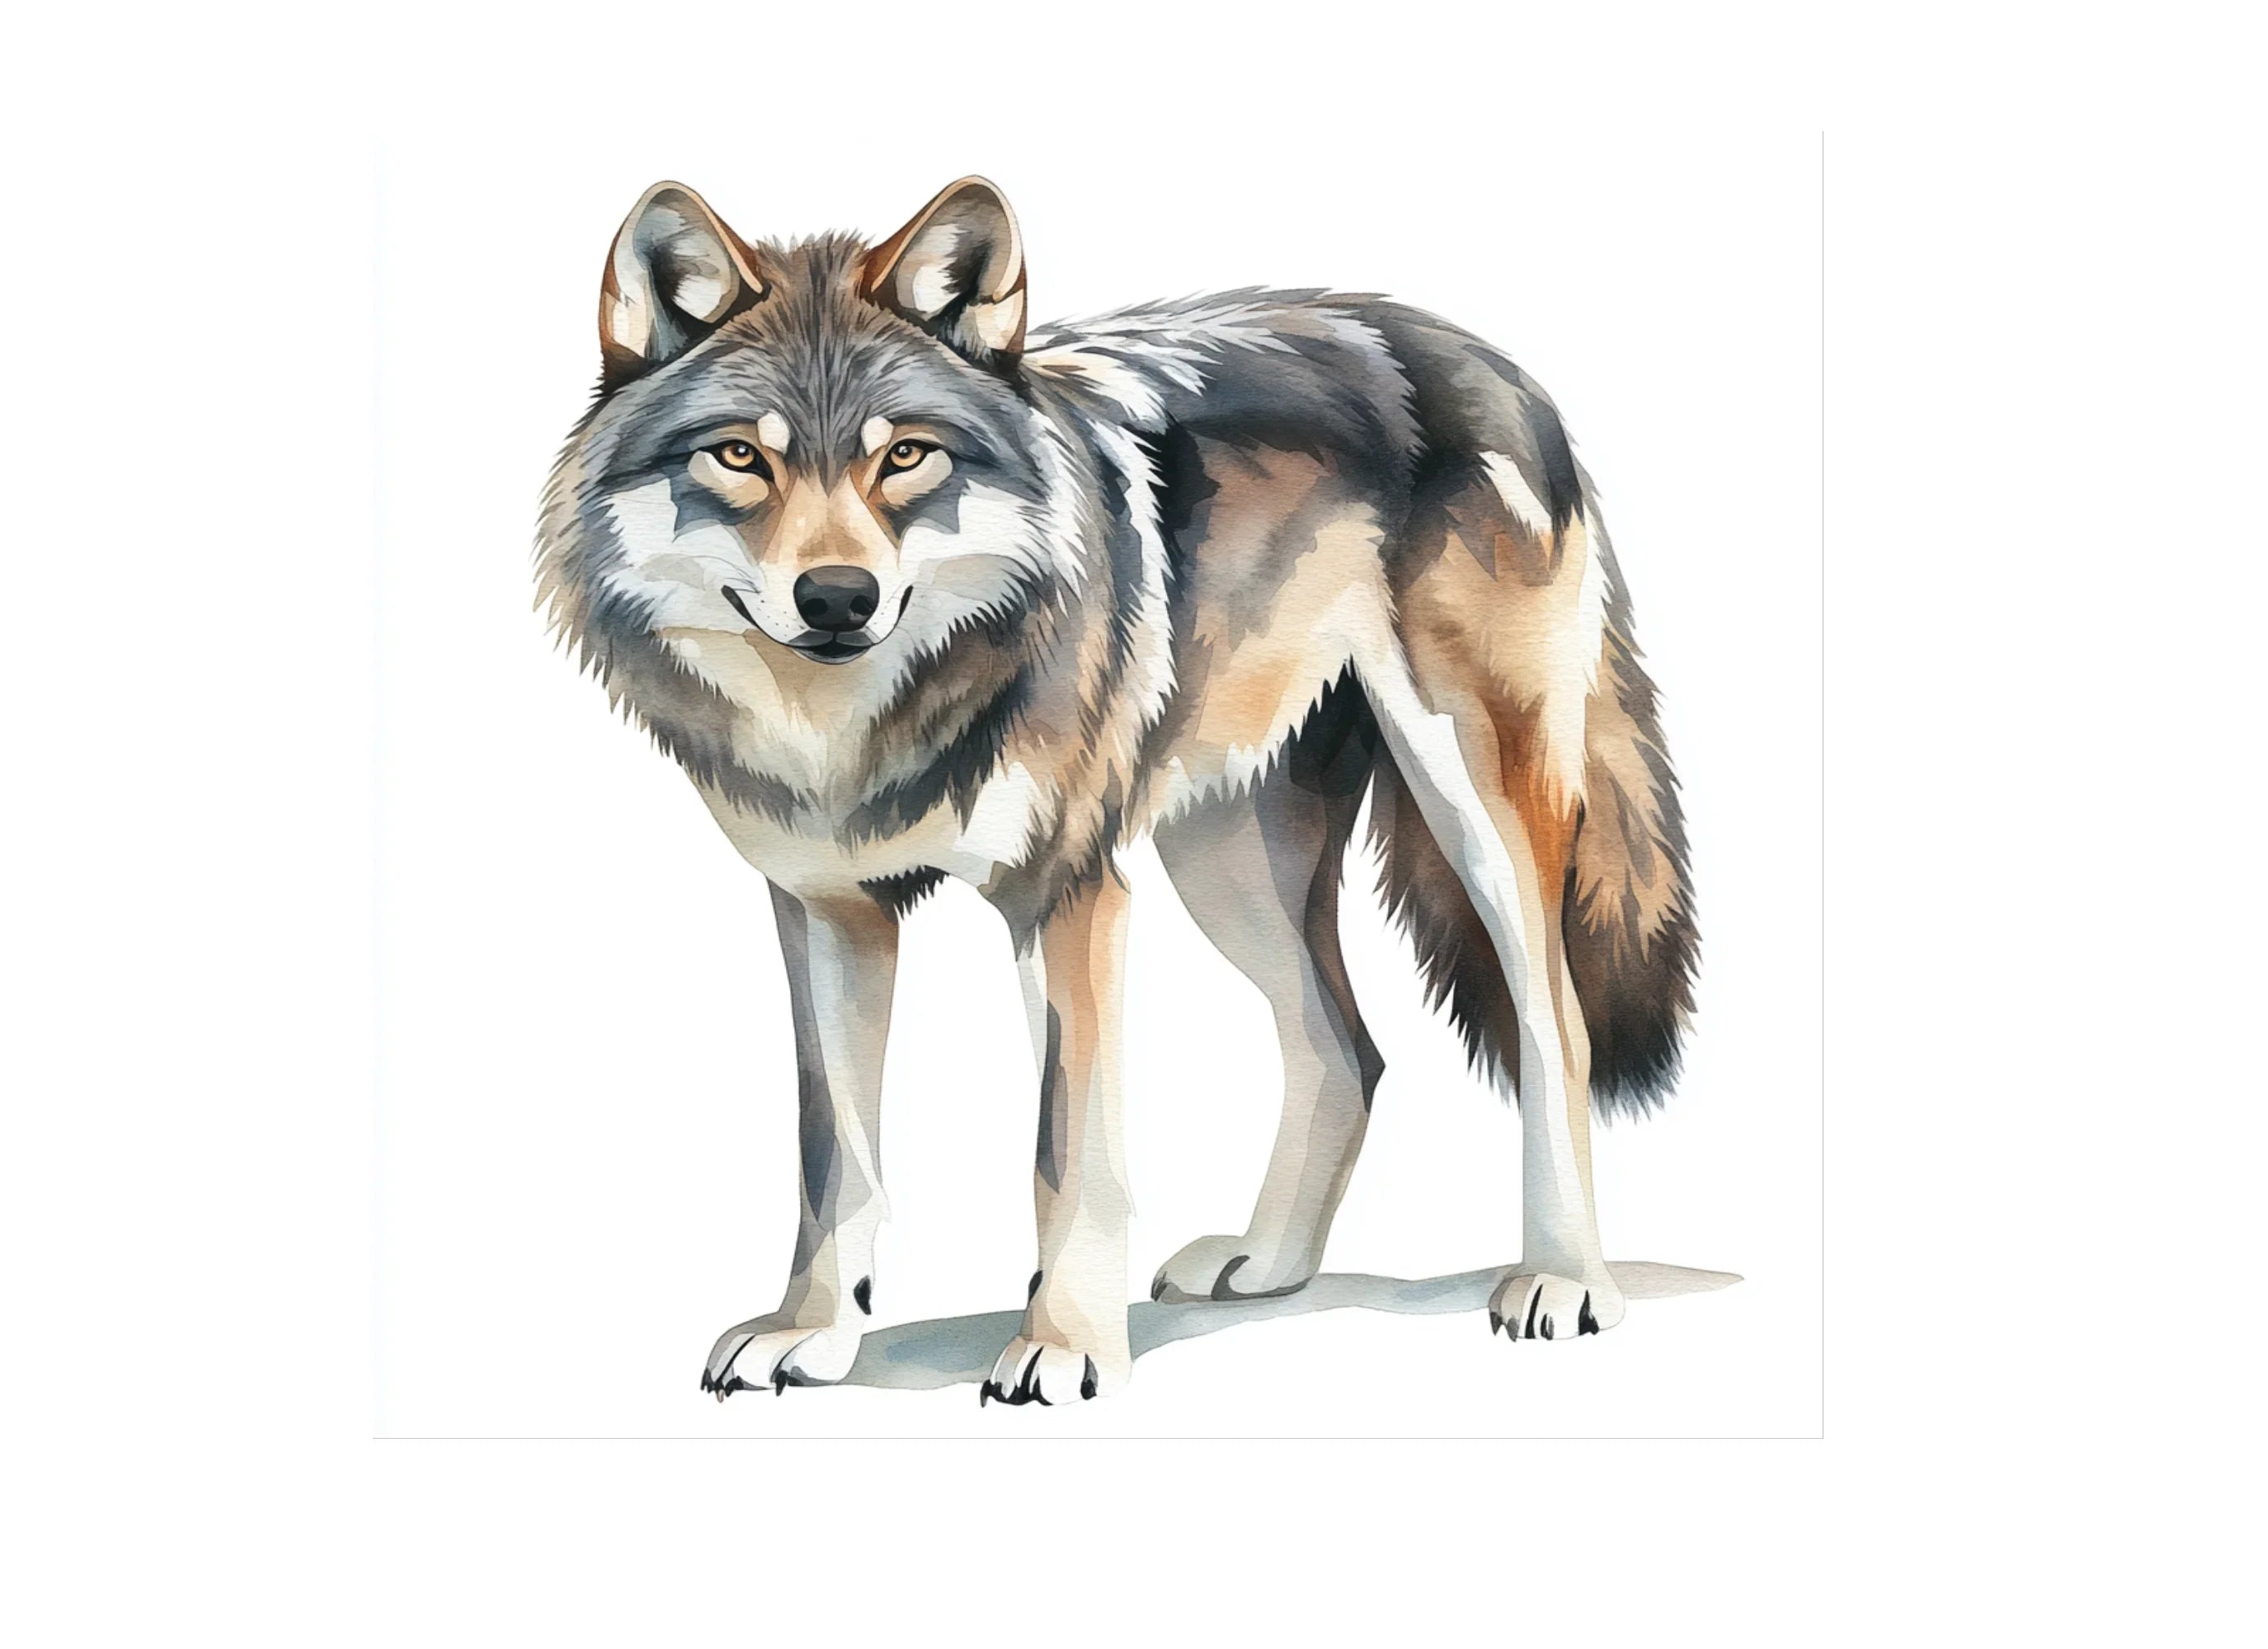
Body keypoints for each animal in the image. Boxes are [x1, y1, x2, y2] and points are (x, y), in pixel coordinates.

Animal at [537, 177, 1697, 1404]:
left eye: (904, 456)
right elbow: (832, 1156)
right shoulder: (825, 911)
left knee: (1552, 1025)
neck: (854, 726)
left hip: (1469, 810)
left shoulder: (1068, 895)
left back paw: (1564, 1281)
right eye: (738, 458)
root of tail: (1489, 359)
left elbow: (1065, 1154)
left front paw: (1063, 1345)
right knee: (1344, 1047)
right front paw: (813, 1330)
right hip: (1223, 863)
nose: (839, 597)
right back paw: (1269, 1262)